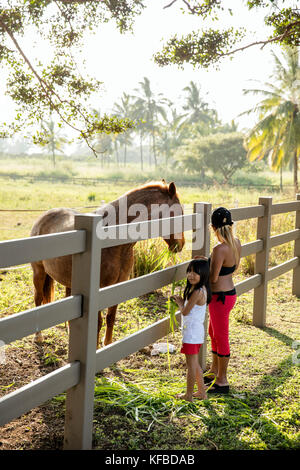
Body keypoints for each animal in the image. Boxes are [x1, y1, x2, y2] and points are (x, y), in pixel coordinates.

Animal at [31, 182, 185, 346]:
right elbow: (98, 322)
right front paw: (96, 346)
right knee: (38, 299)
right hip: (39, 272)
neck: (114, 241)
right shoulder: (99, 288)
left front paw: (107, 344)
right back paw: (38, 336)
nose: (181, 244)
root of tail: (44, 216)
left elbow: (111, 317)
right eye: (179, 213)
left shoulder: (117, 285)